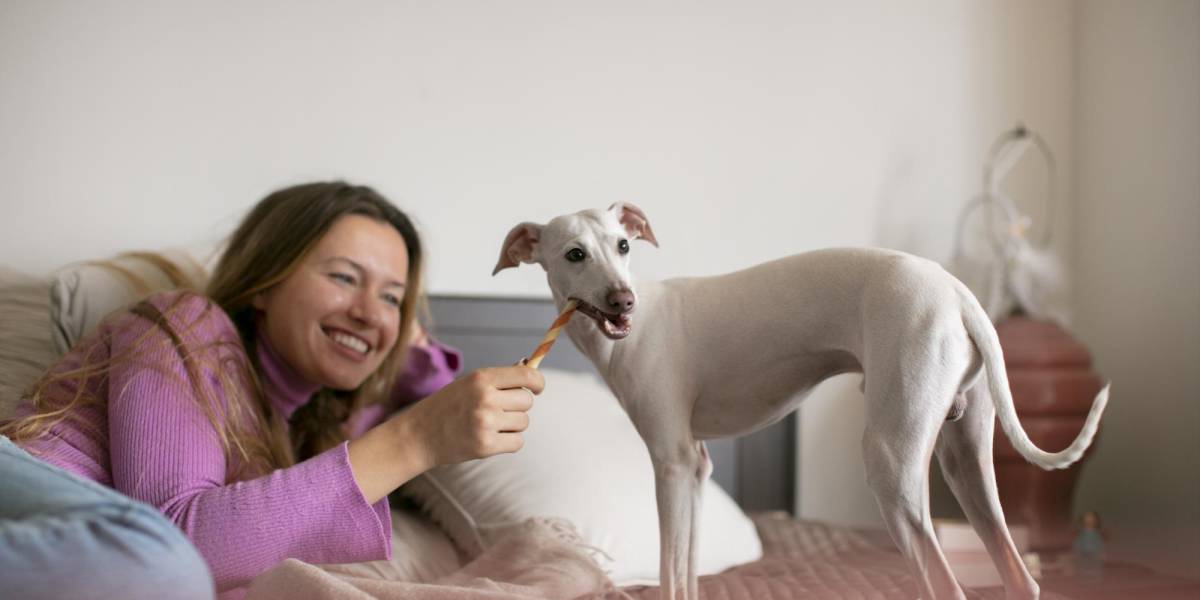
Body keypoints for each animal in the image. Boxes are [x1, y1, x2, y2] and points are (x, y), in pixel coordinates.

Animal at [492, 204, 1108, 597]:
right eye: (575, 254)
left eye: (623, 246)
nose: (623, 300)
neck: (634, 332)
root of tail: (958, 293)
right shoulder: (696, 467)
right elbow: (687, 571)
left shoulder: (670, 463)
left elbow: (669, 572)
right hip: (967, 461)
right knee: (1021, 579)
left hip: (891, 465)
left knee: (946, 585)